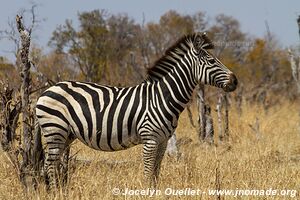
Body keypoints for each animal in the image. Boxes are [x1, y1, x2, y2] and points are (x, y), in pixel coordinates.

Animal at [35, 32, 237, 188]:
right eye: (211, 61)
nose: (235, 81)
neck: (162, 97)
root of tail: (47, 90)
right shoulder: (150, 139)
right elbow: (148, 174)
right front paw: (147, 193)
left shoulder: (163, 141)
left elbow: (156, 173)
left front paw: (155, 193)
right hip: (55, 129)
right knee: (50, 164)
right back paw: (55, 192)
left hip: (66, 134)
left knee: (51, 164)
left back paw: (55, 190)